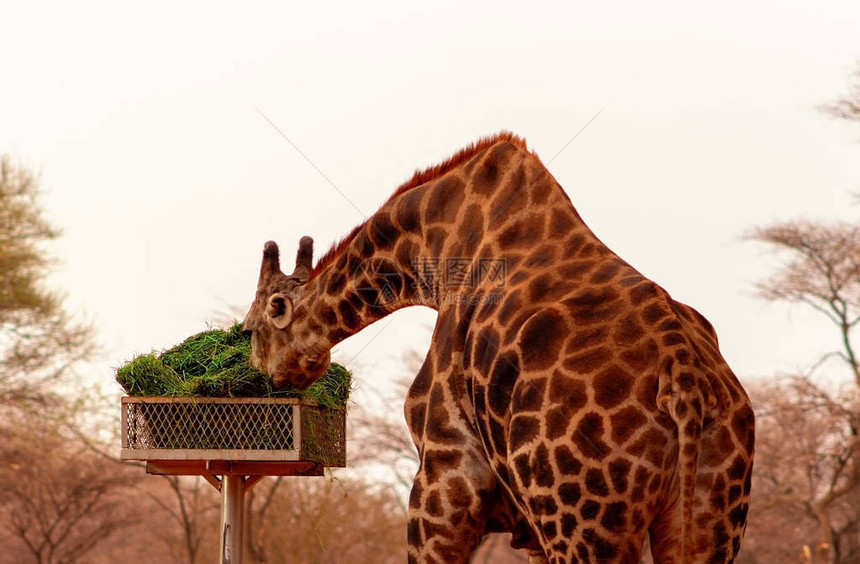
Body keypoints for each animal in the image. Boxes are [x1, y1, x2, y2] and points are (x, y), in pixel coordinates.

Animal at [242, 133, 752, 564]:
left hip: (585, 525)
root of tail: (684, 384)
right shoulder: (528, 525)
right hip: (707, 520)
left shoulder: (446, 473)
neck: (432, 249)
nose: (265, 378)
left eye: (248, 331)